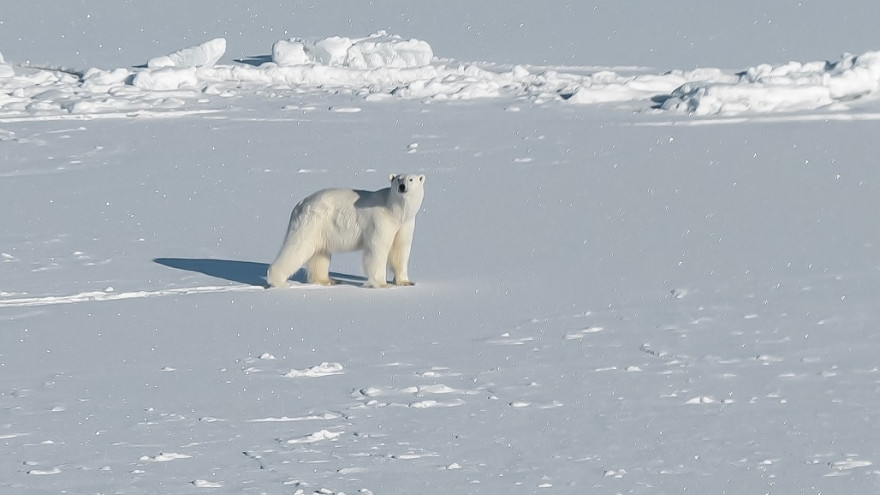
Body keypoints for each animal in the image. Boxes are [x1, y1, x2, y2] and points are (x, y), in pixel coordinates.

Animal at [268, 174, 426, 290]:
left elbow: (401, 249)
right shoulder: (380, 221)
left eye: (411, 179)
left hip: (321, 228)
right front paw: (382, 284)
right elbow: (378, 248)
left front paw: (406, 282)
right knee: (297, 247)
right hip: (312, 222)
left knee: (320, 253)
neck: (394, 210)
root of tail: (299, 205)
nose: (402, 187)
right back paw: (280, 281)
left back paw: (327, 280)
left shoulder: (405, 224)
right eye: (398, 179)